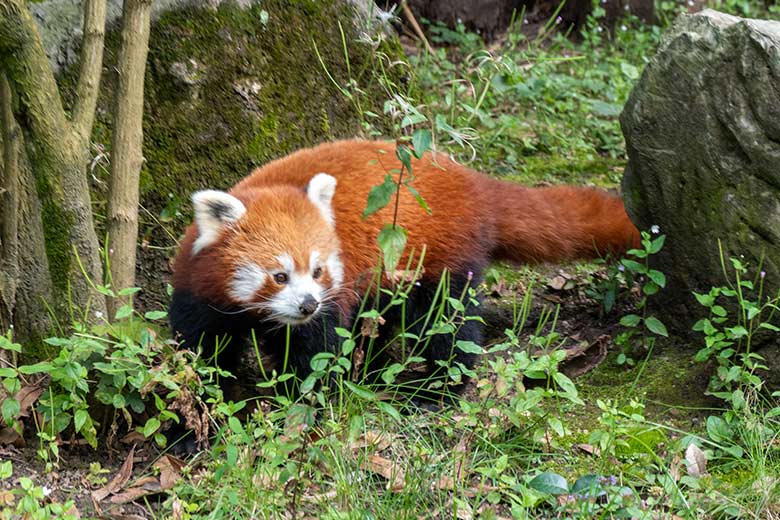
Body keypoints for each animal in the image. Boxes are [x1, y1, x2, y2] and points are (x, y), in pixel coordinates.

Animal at [171, 138, 640, 402]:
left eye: (318, 271)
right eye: (280, 275)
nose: (306, 305)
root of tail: (470, 180)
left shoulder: (330, 303)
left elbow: (317, 356)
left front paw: (299, 405)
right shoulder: (199, 293)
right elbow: (198, 356)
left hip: (438, 257)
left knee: (447, 327)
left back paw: (437, 390)